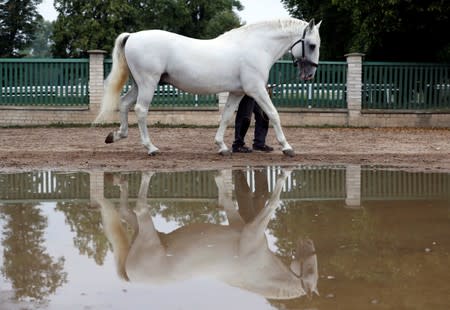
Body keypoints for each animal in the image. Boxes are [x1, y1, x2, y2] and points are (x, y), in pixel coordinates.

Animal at [94, 18, 320, 156]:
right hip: (148, 83)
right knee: (141, 110)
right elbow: (273, 114)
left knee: (124, 104)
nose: (309, 75)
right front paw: (287, 147)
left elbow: (227, 117)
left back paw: (116, 136)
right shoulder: (256, 89)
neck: (256, 46)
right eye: (312, 45)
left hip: (139, 84)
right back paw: (151, 148)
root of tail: (132, 36)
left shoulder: (237, 92)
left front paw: (222, 146)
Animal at [96, 170, 318, 300]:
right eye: (311, 270)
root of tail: (130, 275)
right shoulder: (252, 230)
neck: (259, 269)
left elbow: (226, 198)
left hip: (145, 233)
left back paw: (120, 180)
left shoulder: (239, 224)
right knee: (140, 207)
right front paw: (282, 176)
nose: (308, 241)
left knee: (125, 211)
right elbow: (273, 202)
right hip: (148, 233)